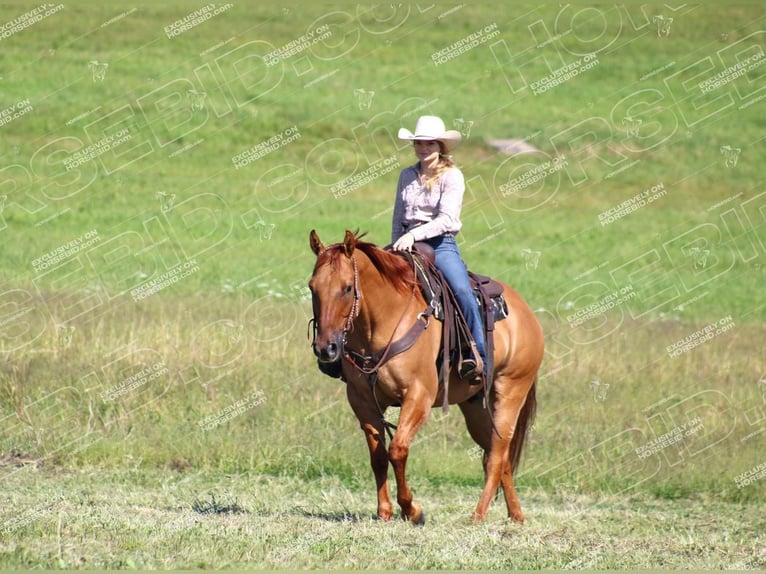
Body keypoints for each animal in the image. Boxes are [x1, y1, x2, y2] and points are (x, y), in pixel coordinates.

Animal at [308, 231, 544, 528]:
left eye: (348, 288)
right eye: (312, 287)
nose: (325, 349)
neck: (383, 322)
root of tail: (527, 315)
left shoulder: (418, 395)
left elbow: (397, 450)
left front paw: (412, 510)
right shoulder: (362, 401)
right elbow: (378, 457)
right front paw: (384, 512)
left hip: (510, 393)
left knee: (497, 456)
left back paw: (478, 515)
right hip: (476, 407)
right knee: (499, 457)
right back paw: (516, 516)